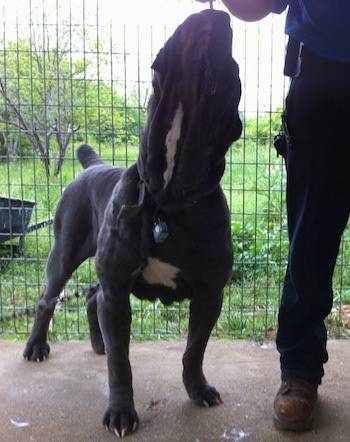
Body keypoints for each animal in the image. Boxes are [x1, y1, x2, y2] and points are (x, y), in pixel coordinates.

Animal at [23, 9, 242, 438]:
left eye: (232, 68)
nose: (217, 13)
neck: (166, 200)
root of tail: (92, 165)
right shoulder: (118, 287)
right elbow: (120, 365)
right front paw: (121, 413)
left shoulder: (209, 294)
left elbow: (194, 349)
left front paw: (198, 389)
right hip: (64, 254)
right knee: (47, 300)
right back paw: (37, 347)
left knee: (92, 297)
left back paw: (98, 342)